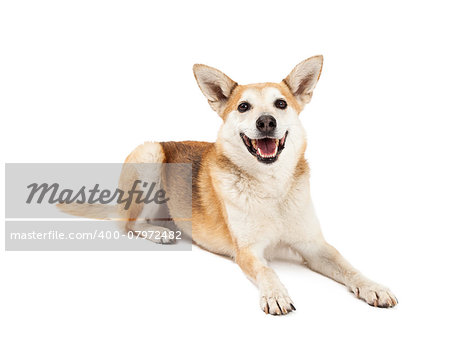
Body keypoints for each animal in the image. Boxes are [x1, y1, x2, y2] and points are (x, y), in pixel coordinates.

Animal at [59, 55, 398, 316]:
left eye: (281, 104)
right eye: (244, 107)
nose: (266, 122)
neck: (271, 188)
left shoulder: (314, 246)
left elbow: (347, 265)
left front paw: (373, 286)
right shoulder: (247, 251)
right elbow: (267, 269)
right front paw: (275, 294)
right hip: (150, 153)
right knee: (128, 223)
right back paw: (158, 232)